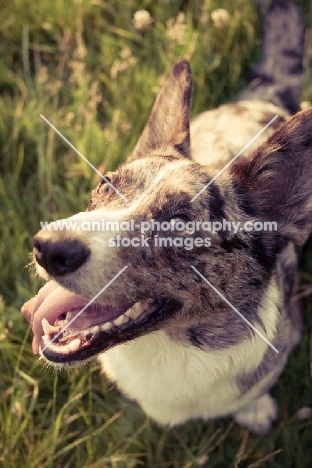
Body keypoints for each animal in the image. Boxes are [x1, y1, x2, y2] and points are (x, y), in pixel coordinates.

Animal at [20, 0, 310, 434]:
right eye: (107, 183)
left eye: (180, 224)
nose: (46, 248)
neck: (169, 347)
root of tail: (266, 96)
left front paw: (254, 410)